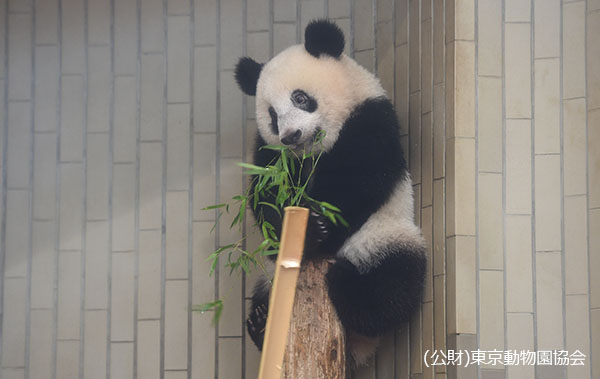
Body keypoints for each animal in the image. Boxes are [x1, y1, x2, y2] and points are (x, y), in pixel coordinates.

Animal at [234, 19, 426, 370]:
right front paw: (302, 230)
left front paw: (318, 230)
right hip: (270, 277)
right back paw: (260, 320)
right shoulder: (271, 154)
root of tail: (356, 347)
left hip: (385, 235)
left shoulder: (369, 119)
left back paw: (347, 286)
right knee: (264, 294)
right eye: (272, 115)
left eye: (300, 97)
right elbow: (266, 194)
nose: (291, 135)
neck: (314, 152)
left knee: (392, 285)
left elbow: (359, 183)